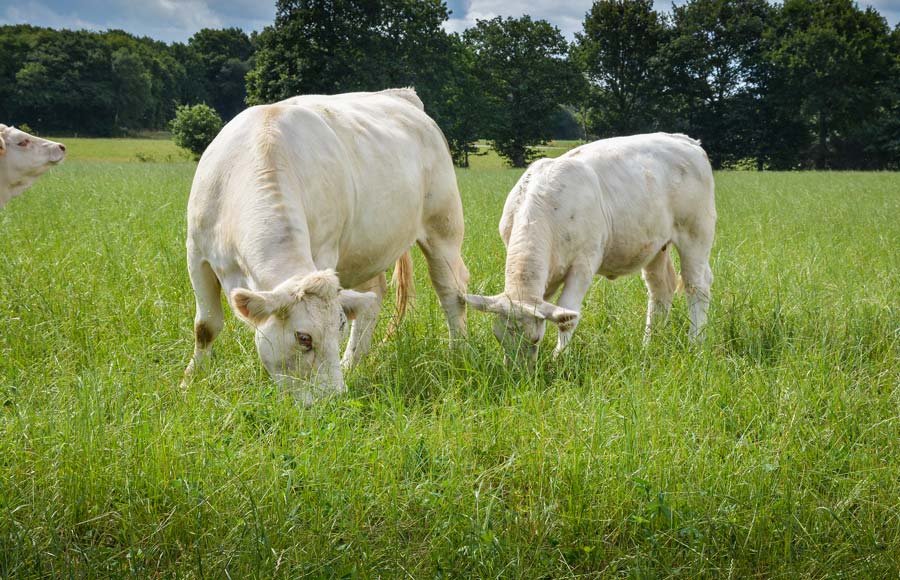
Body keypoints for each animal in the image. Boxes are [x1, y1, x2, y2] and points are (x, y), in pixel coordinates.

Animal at [464, 134, 716, 364]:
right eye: (498, 337)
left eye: (535, 339)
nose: (517, 373)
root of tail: (686, 141)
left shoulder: (584, 263)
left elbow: (567, 314)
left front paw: (559, 358)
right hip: (656, 245)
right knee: (661, 289)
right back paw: (649, 343)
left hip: (696, 233)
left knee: (697, 286)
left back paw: (695, 343)